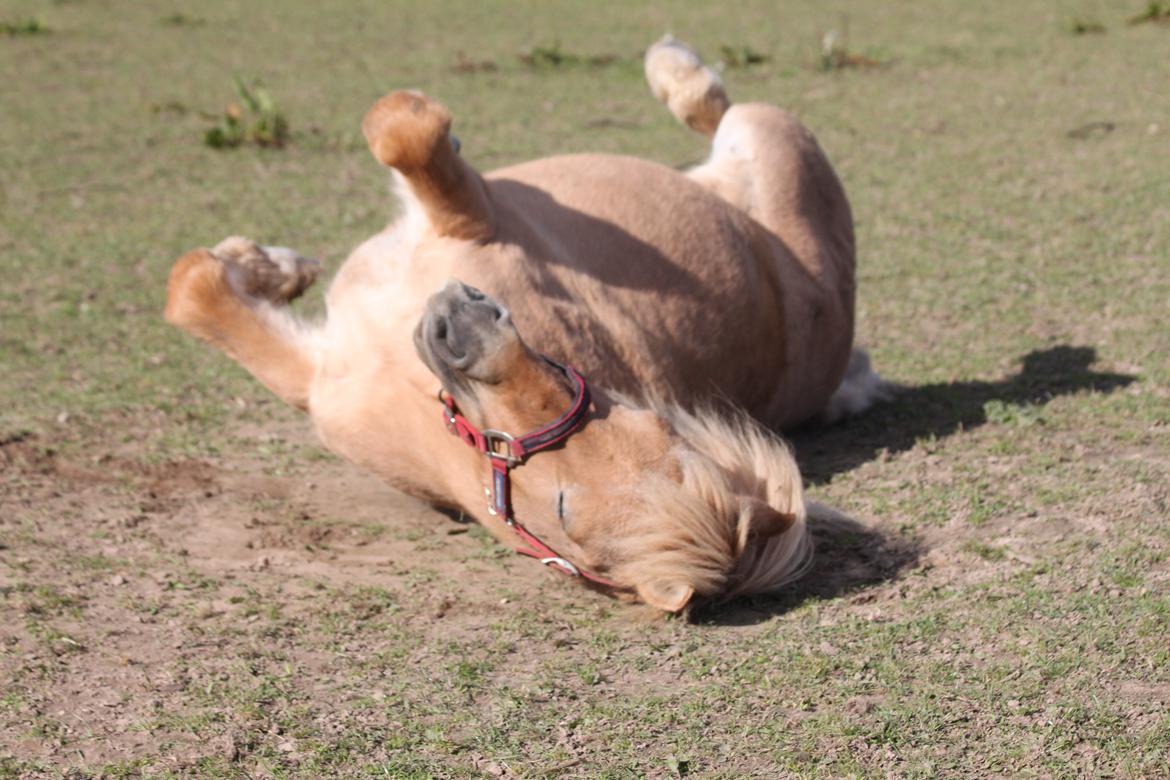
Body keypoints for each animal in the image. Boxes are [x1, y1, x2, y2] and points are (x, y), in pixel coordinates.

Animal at [162, 36, 879, 612]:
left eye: (563, 509)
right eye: (653, 421)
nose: (460, 332)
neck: (414, 391)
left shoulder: (476, 212)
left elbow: (404, 129)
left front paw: (262, 263)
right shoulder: (320, 369)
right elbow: (194, 290)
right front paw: (271, 267)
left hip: (770, 136)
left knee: (721, 105)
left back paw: (673, 65)